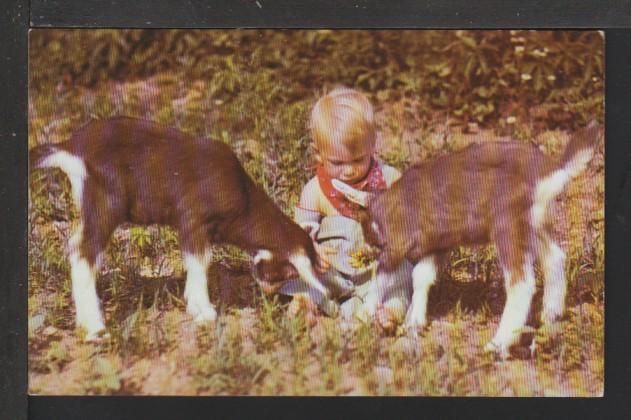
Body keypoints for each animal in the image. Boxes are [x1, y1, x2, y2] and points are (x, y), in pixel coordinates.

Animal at [29, 116, 326, 340]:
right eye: (287, 272)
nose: (267, 293)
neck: (244, 200)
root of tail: (71, 147)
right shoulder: (194, 222)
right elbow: (200, 262)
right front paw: (203, 310)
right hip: (105, 204)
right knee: (83, 252)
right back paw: (94, 327)